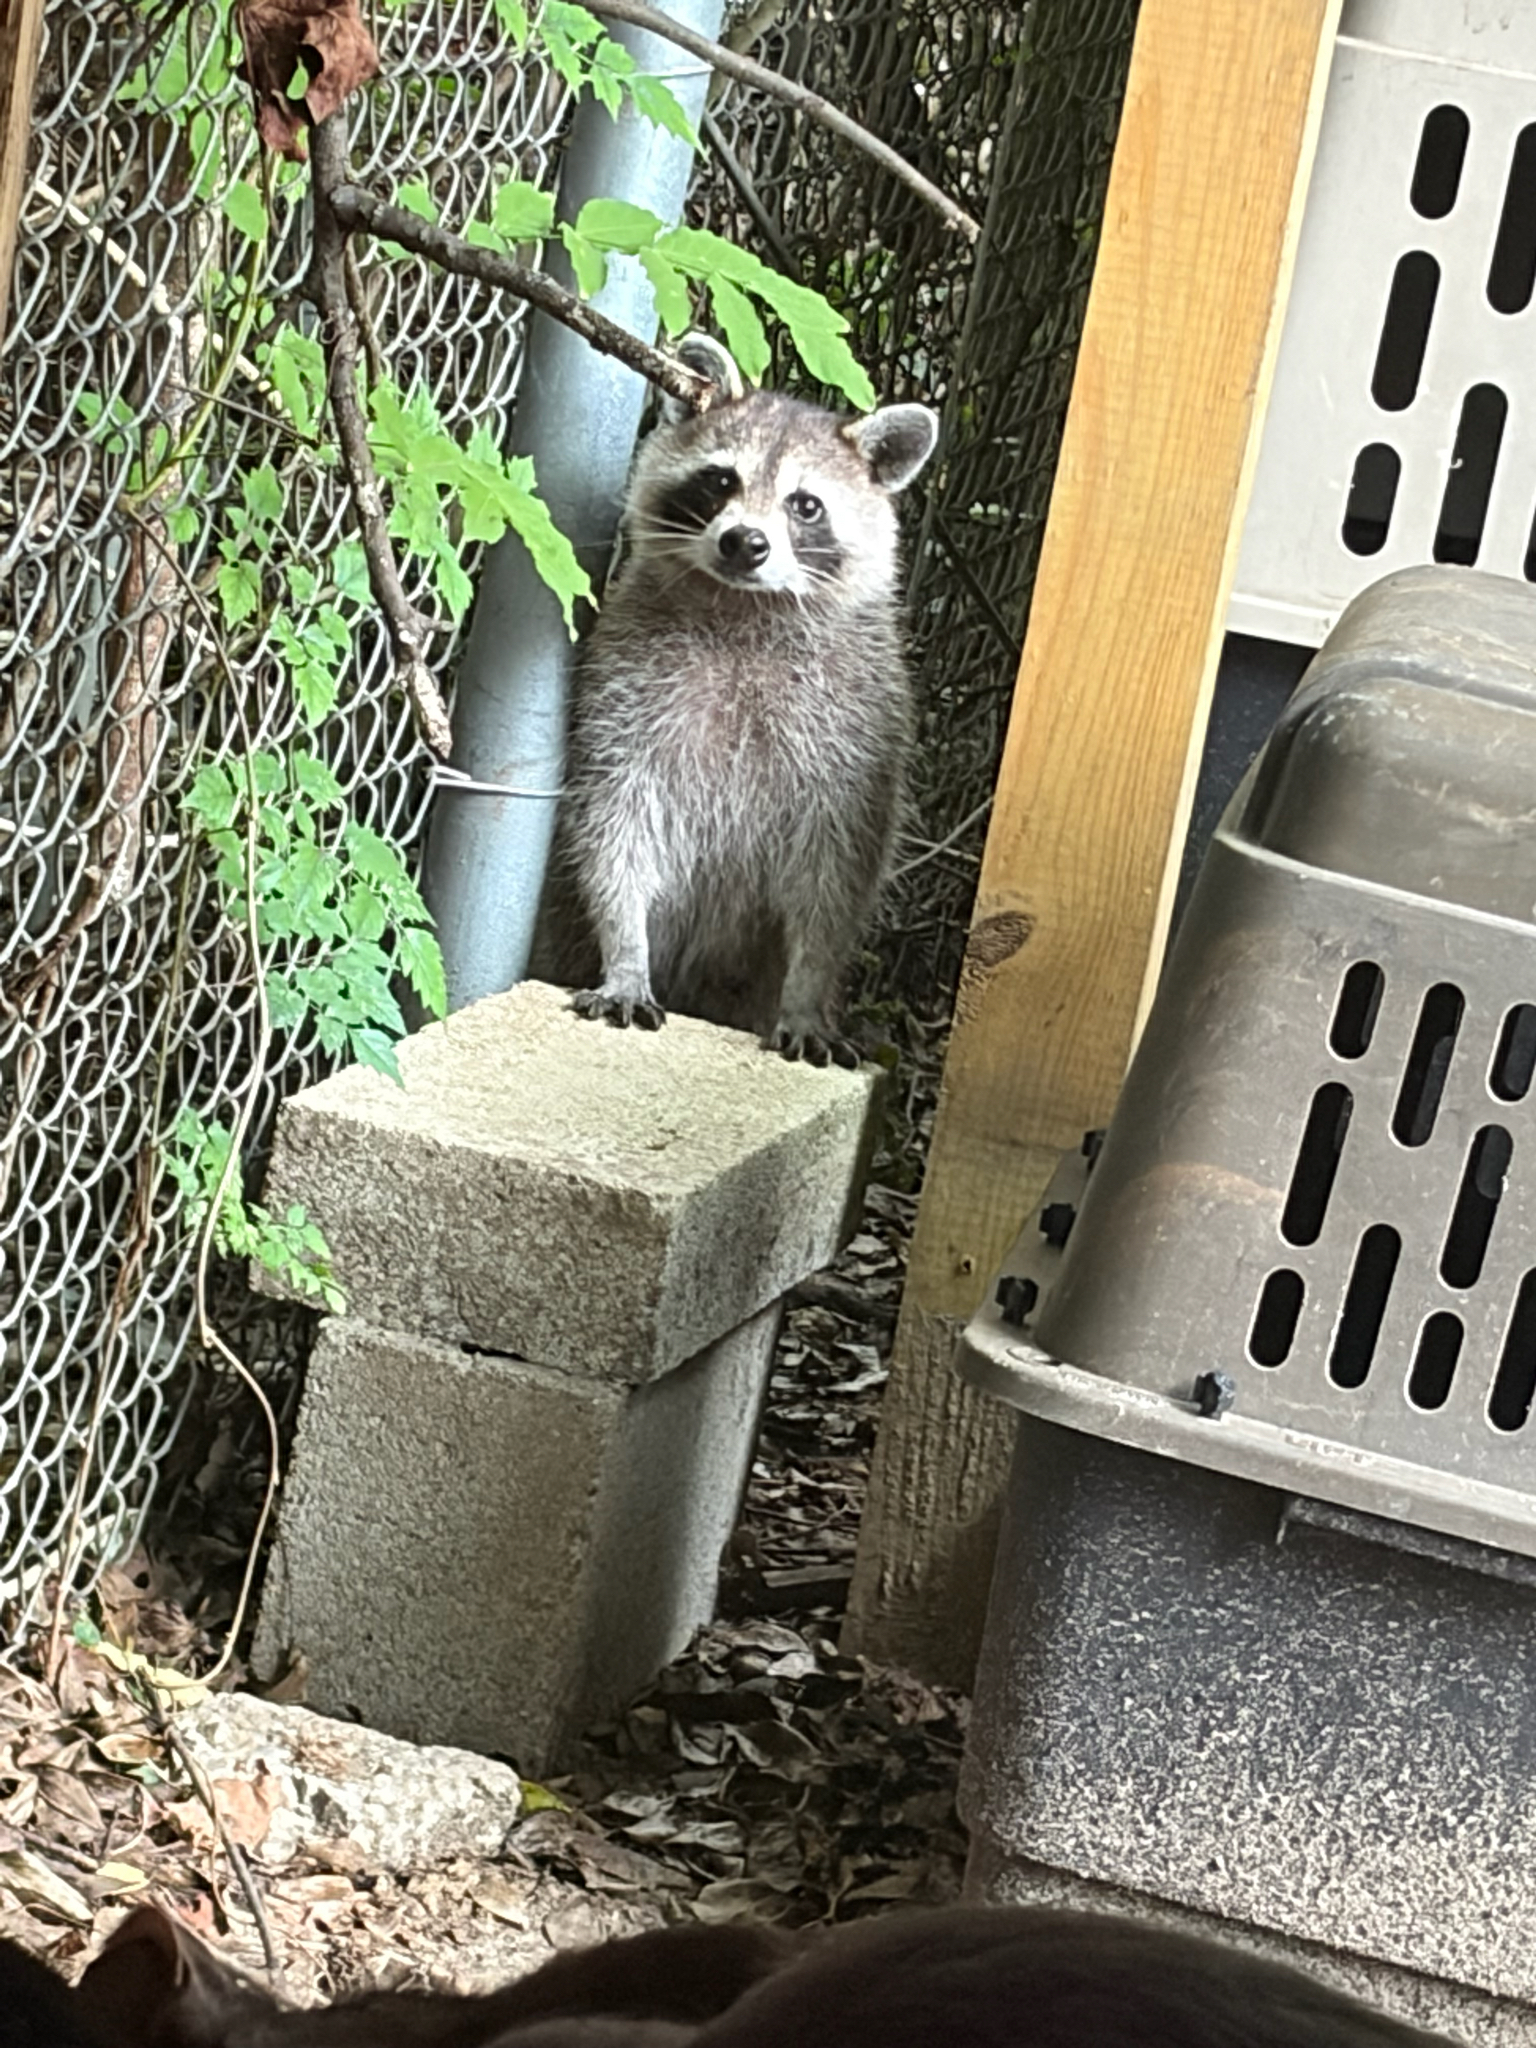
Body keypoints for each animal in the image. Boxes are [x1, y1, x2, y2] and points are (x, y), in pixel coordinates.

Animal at [560, 334, 938, 1068]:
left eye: (806, 505)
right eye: (721, 481)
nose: (746, 542)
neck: (744, 609)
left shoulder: (859, 730)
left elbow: (836, 874)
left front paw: (808, 990)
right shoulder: (625, 690)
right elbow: (616, 825)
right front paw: (625, 952)